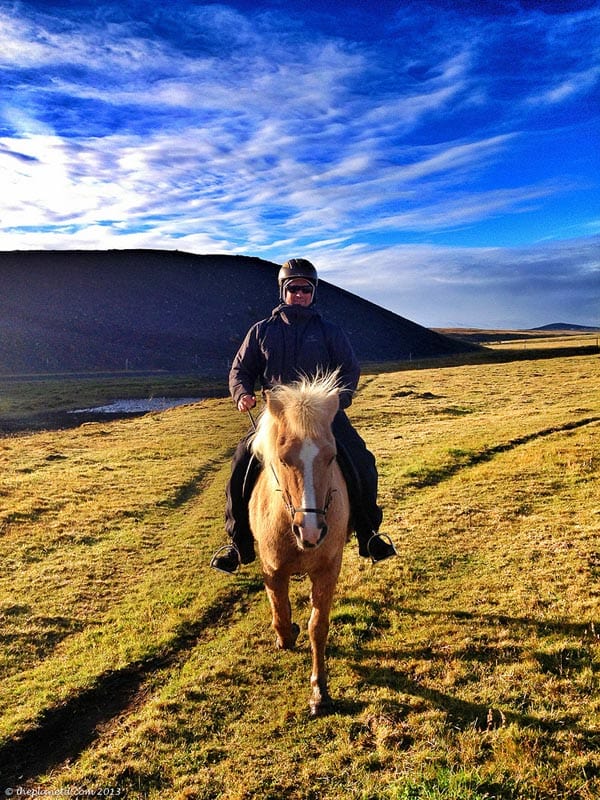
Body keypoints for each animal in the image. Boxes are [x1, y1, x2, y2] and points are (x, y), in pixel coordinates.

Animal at [248, 372, 352, 716]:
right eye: (283, 459)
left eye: (332, 456)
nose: (311, 531)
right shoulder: (272, 569)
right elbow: (280, 613)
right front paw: (285, 636)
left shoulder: (328, 569)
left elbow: (317, 626)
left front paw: (320, 691)